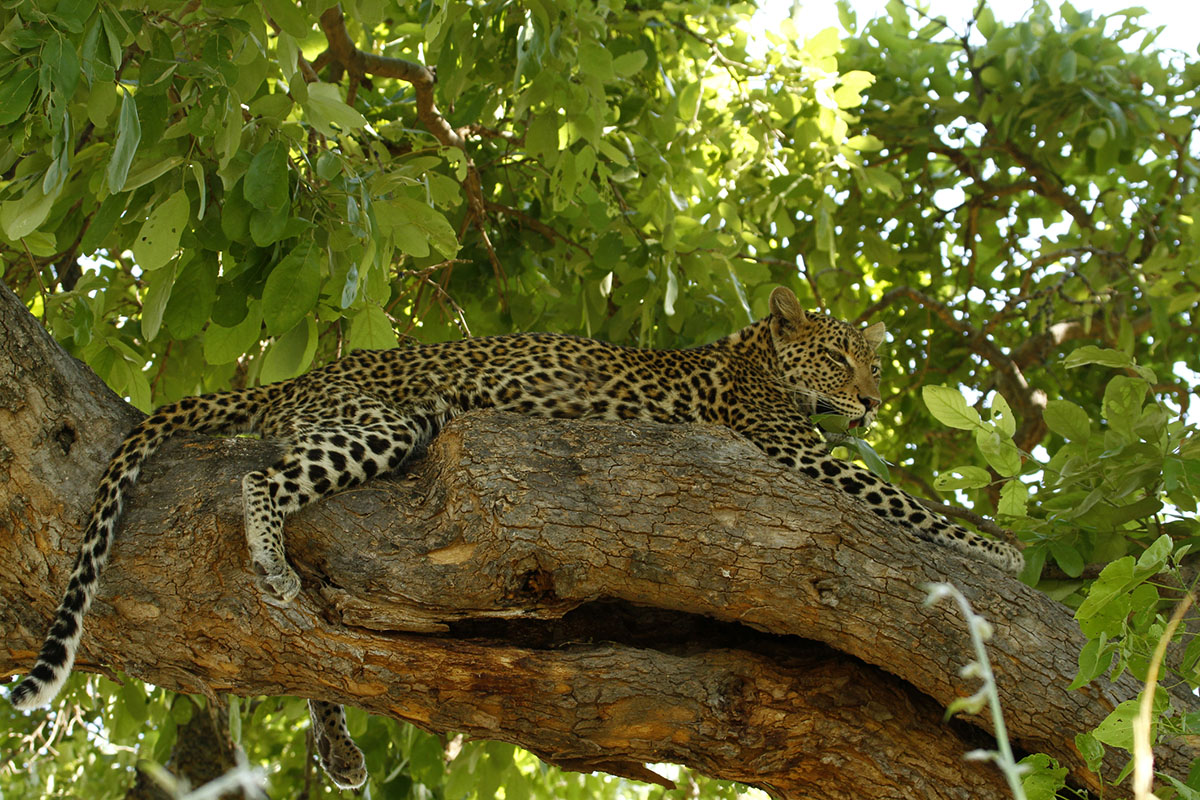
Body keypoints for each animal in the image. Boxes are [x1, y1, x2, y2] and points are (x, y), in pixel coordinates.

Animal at [7, 287, 1022, 786]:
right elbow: (902, 502)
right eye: (840, 356)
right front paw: (999, 550)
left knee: (309, 640)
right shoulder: (794, 453)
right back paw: (267, 558)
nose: (873, 401)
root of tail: (296, 379)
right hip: (382, 425)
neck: (757, 356)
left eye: (874, 362)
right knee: (262, 483)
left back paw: (337, 743)